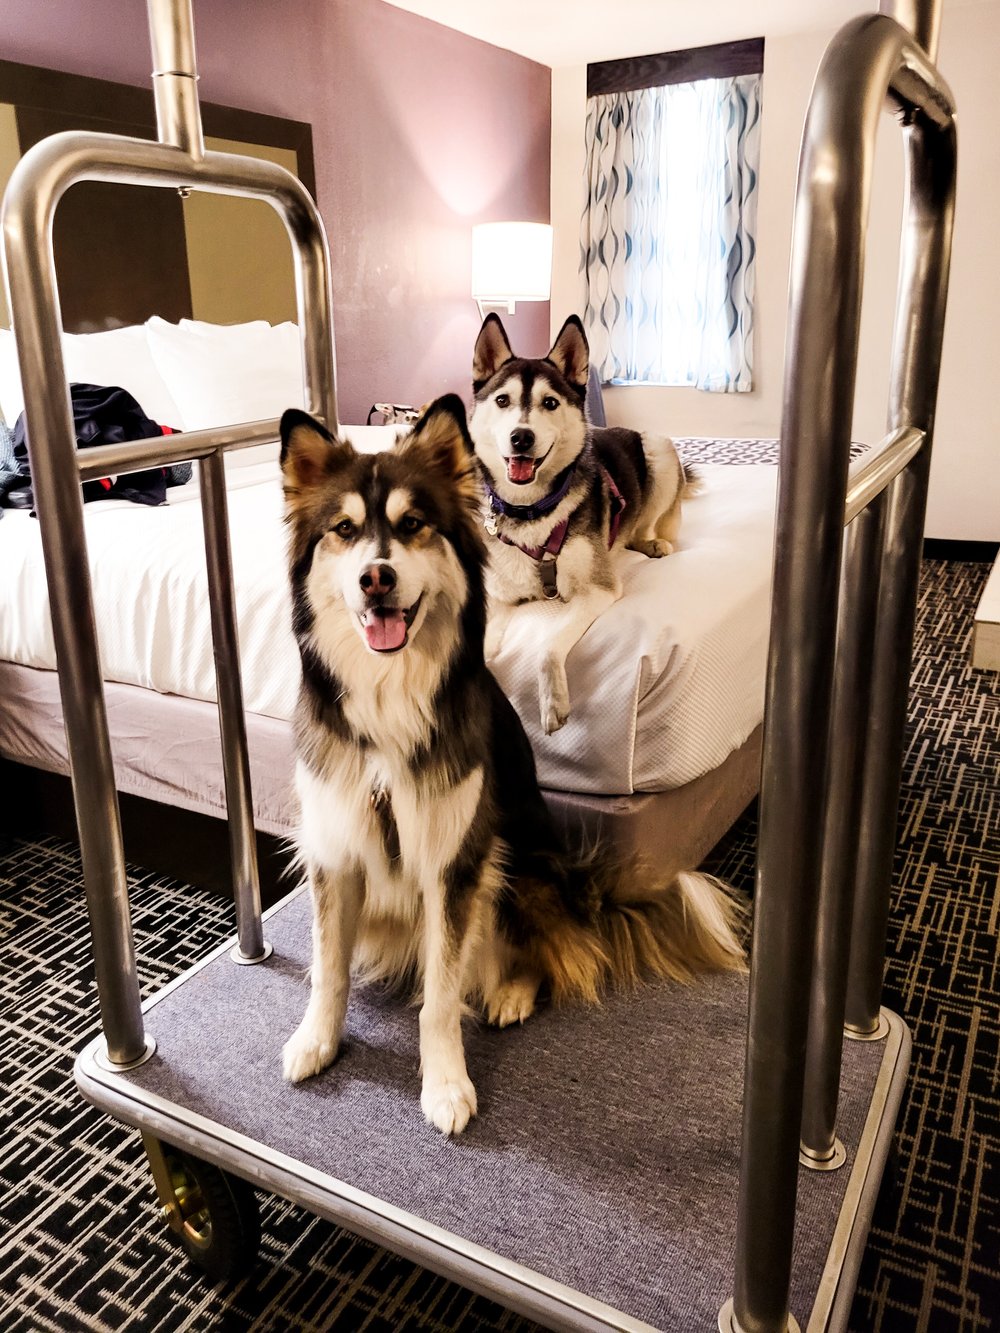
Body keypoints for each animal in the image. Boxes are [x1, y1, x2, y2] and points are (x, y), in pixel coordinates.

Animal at [278, 391, 746, 1135]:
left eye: (413, 524)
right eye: (344, 530)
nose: (376, 578)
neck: (388, 693)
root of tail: (581, 893)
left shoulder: (456, 858)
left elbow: (442, 993)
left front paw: (445, 1084)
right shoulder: (336, 843)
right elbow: (328, 967)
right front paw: (316, 1040)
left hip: (516, 859)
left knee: (539, 950)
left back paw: (512, 992)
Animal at [469, 315, 698, 741]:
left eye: (550, 403)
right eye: (503, 401)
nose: (521, 437)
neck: (530, 512)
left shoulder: (596, 590)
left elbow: (547, 646)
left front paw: (552, 702)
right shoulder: (500, 600)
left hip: (659, 451)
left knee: (644, 528)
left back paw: (651, 544)